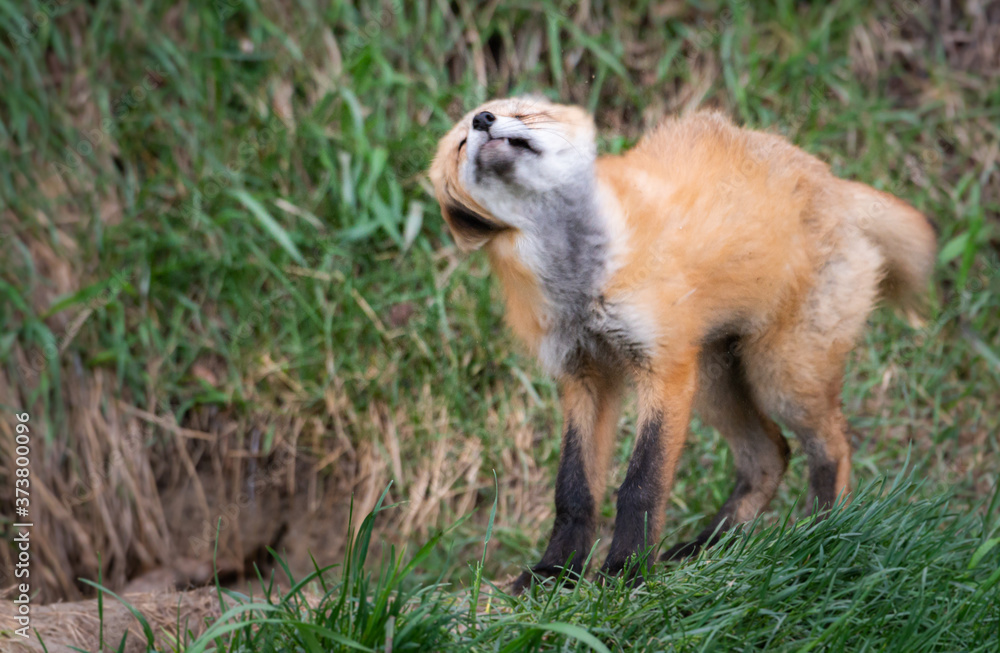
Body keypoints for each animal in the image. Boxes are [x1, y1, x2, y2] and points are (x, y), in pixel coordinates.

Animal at [428, 96, 936, 592]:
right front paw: (555, 573)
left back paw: (822, 534)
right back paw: (711, 547)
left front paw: (626, 571)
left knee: (832, 446)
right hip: (715, 386)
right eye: (460, 144)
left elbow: (641, 485)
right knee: (770, 455)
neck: (579, 280)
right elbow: (573, 491)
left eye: (523, 112)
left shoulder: (664, 367)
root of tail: (832, 181)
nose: (483, 119)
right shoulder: (585, 376)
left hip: (781, 377)